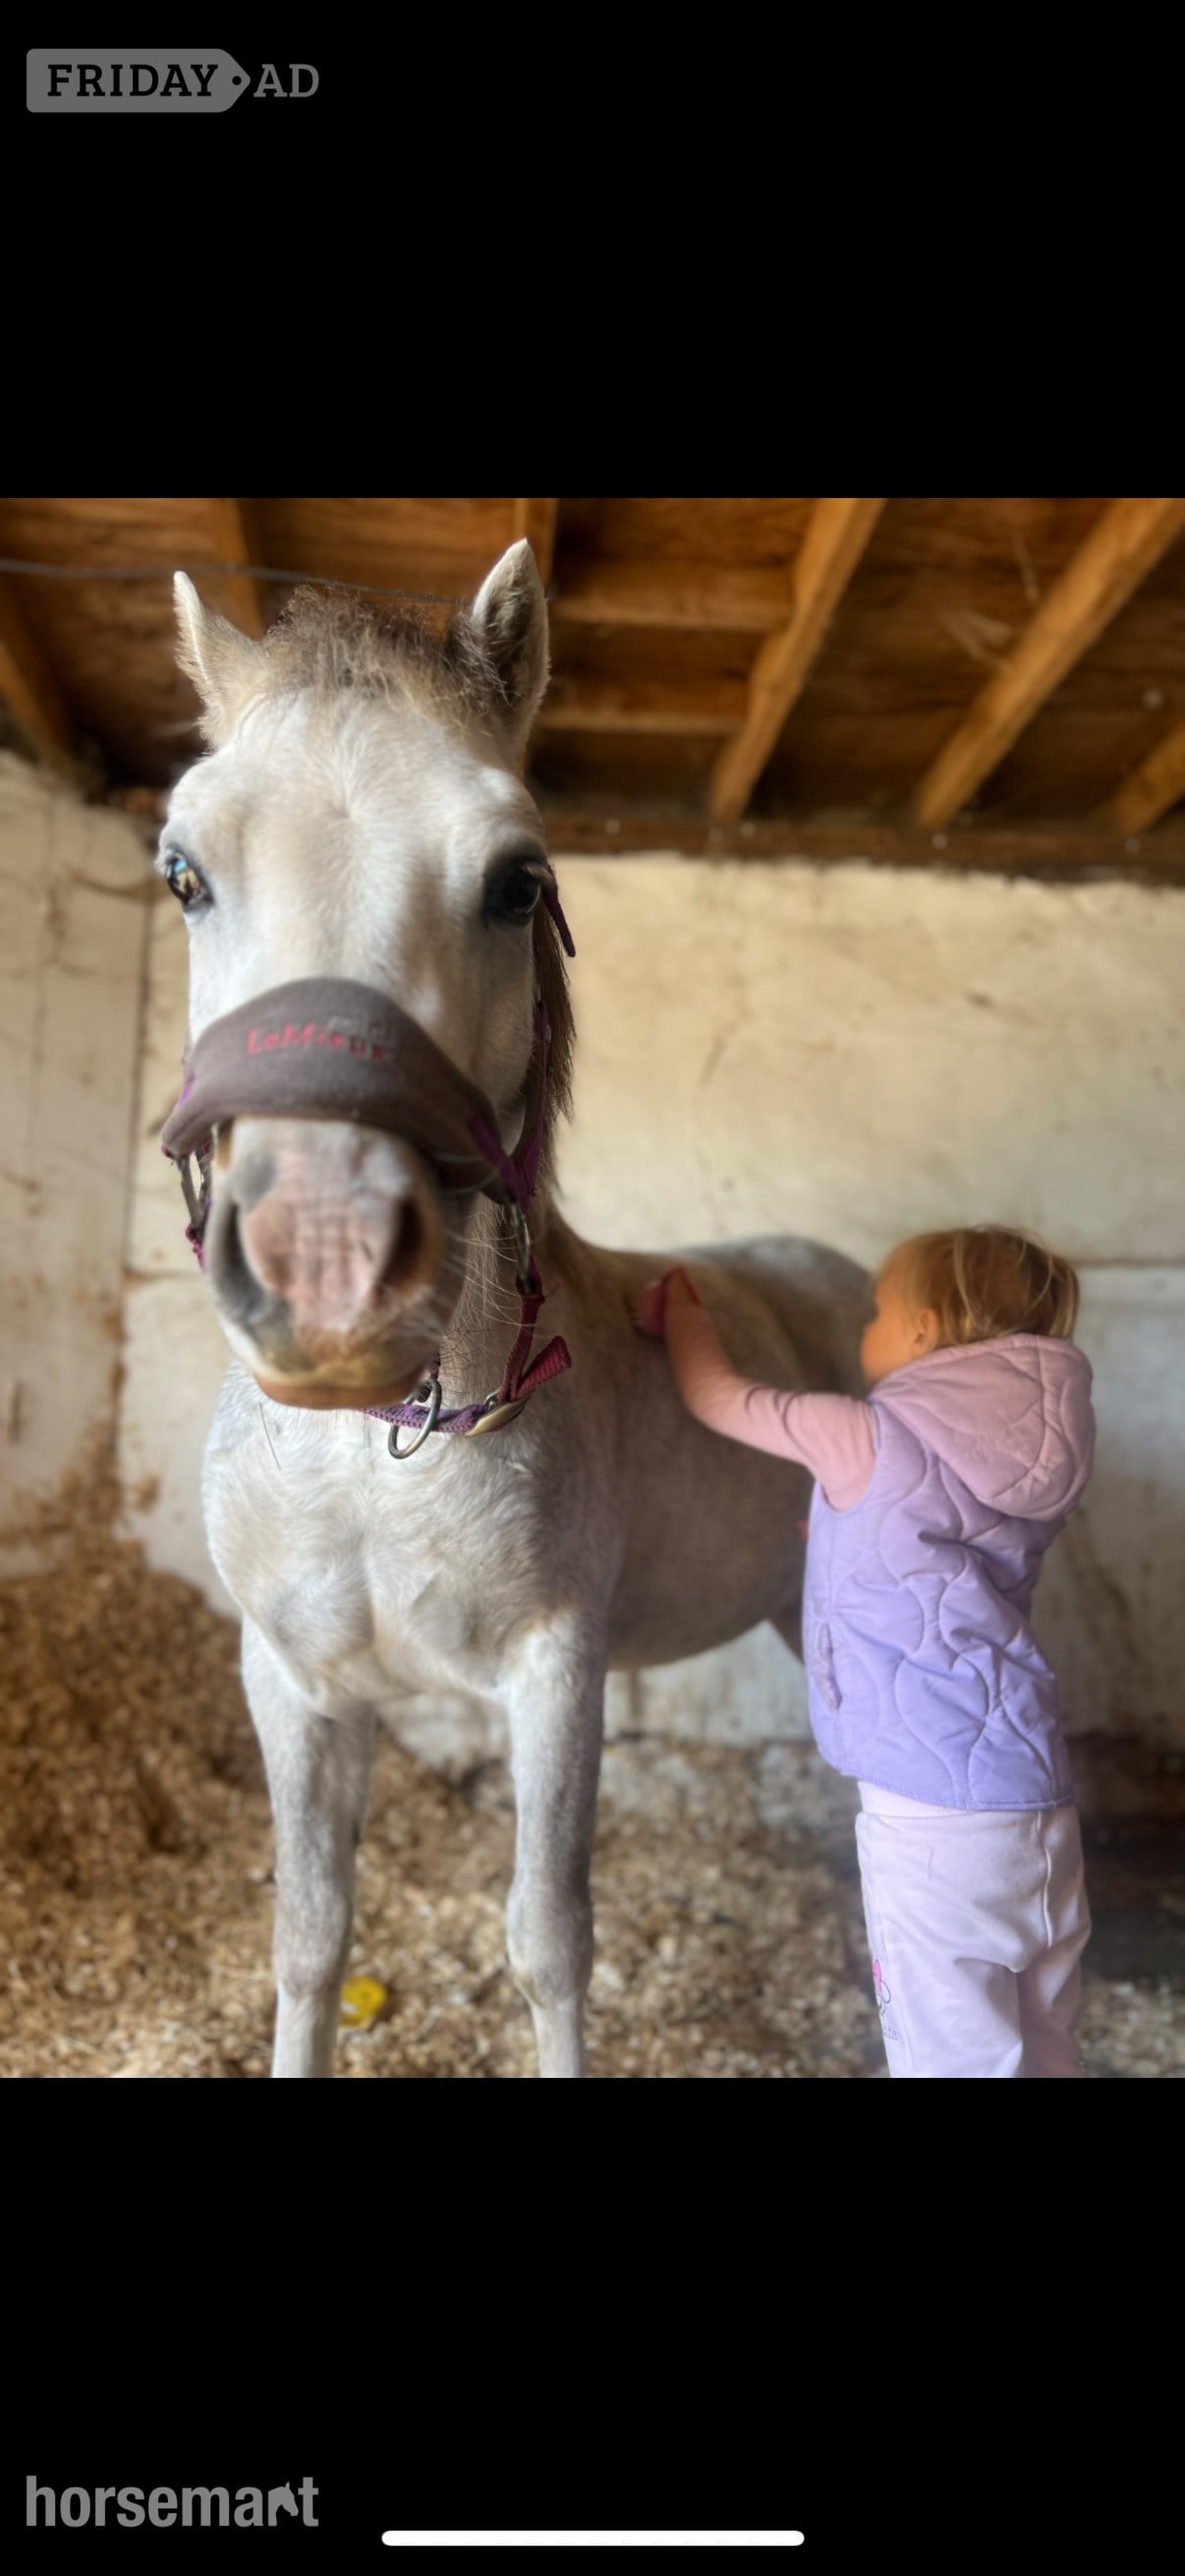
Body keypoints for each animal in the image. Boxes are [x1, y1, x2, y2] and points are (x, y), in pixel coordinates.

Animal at [158, 539, 869, 2078]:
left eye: (515, 880)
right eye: (183, 873)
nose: (326, 1273)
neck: (371, 1451)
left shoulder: (556, 1676)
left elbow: (548, 1942)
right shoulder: (292, 1686)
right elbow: (307, 1940)